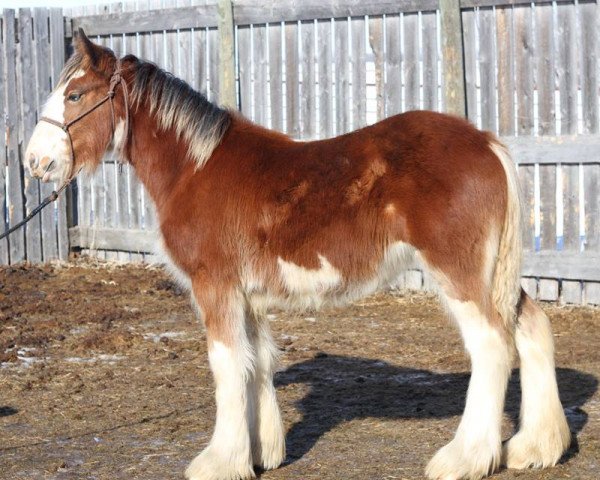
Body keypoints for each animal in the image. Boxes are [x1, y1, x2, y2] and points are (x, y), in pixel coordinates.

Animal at [27, 30, 572, 480]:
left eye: (75, 95)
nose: (35, 162)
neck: (195, 167)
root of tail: (486, 142)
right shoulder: (247, 294)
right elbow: (256, 360)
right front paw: (261, 453)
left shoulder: (215, 285)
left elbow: (226, 364)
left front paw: (218, 462)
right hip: (494, 274)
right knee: (531, 327)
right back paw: (535, 448)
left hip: (458, 272)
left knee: (492, 345)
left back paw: (464, 459)